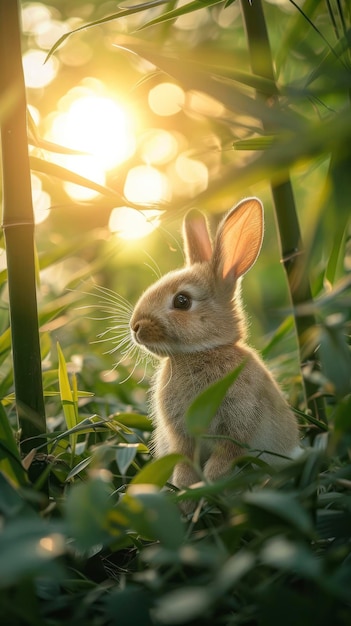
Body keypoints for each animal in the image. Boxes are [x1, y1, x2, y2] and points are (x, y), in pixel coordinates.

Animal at [131, 197, 302, 490]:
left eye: (182, 301)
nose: (135, 327)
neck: (204, 351)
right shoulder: (181, 436)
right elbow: (185, 459)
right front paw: (187, 490)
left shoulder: (237, 426)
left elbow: (224, 457)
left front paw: (207, 486)